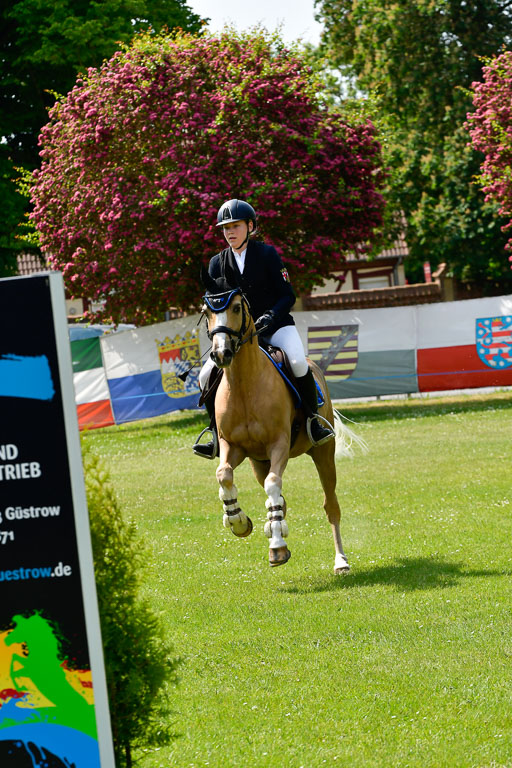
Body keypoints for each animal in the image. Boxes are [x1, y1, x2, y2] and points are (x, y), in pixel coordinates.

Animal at [198, 270, 362, 568]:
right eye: (206, 312)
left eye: (236, 307)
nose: (220, 354)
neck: (245, 385)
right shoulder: (232, 446)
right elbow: (224, 475)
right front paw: (238, 521)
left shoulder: (279, 444)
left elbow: (274, 484)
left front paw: (277, 545)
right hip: (258, 462)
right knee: (276, 496)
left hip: (323, 453)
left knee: (330, 505)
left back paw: (340, 561)